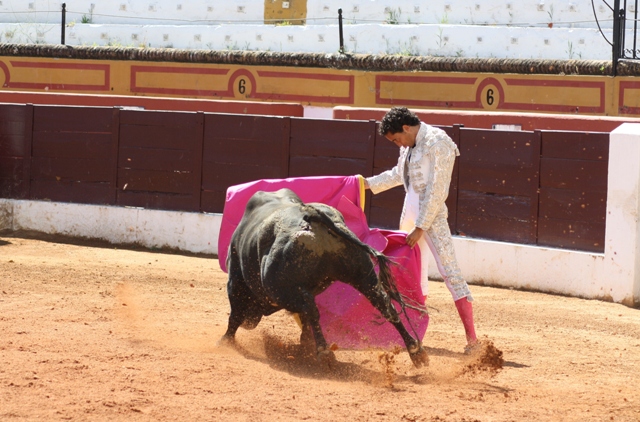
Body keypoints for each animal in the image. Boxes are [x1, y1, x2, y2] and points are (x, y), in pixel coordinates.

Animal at [222, 188, 428, 366]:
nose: (249, 323)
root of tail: (311, 215)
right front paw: (305, 344)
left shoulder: (236, 281)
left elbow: (235, 313)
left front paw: (225, 341)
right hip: (363, 276)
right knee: (385, 305)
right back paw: (415, 351)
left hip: (281, 290)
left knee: (311, 310)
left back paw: (324, 352)